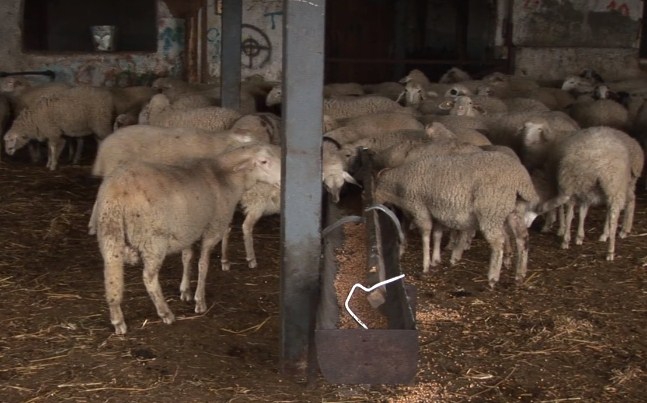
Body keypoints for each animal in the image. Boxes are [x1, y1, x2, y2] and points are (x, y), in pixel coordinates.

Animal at [94, 142, 282, 334]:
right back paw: (165, 313)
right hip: (153, 240)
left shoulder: (188, 230)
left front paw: (185, 291)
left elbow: (187, 258)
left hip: (109, 234)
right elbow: (203, 264)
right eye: (264, 161)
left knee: (111, 276)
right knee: (149, 277)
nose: (282, 181)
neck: (226, 177)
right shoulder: (213, 227)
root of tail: (117, 191)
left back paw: (117, 319)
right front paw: (200, 301)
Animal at [374, 150, 538, 287]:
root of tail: (521, 181)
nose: (373, 201)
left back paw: (493, 277)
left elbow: (426, 235)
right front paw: (435, 259)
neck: (399, 182)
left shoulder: (419, 208)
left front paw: (425, 264)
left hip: (491, 209)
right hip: (514, 210)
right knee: (522, 238)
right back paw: (520, 274)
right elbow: (437, 235)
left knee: (498, 242)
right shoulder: (436, 211)